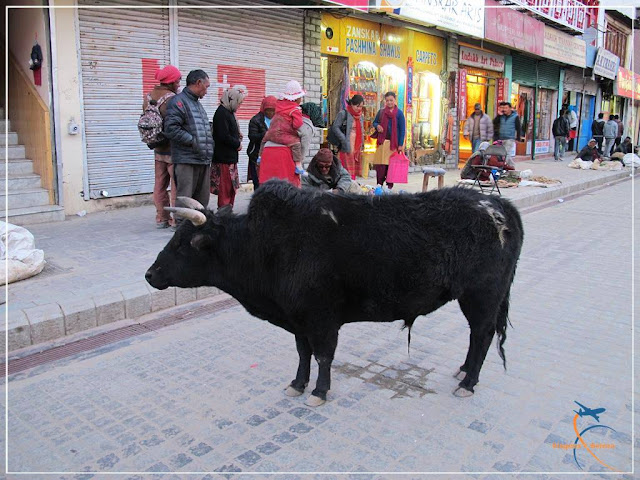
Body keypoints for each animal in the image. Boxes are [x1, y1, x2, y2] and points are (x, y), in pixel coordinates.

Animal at [146, 182, 524, 406]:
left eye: (185, 243)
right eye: (174, 237)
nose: (150, 274)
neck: (264, 245)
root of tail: (498, 203)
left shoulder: (322, 318)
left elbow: (324, 356)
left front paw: (319, 391)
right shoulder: (297, 319)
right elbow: (303, 353)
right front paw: (298, 383)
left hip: (481, 296)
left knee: (482, 335)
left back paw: (469, 382)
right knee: (478, 338)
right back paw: (463, 371)